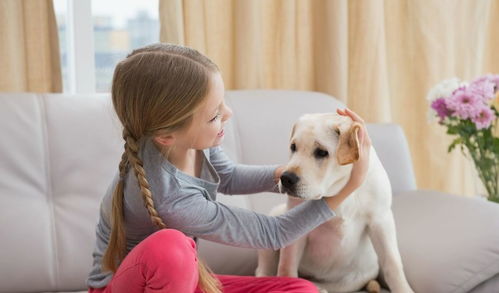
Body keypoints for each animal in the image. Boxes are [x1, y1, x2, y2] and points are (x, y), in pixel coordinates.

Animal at [254, 112, 414, 292]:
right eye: (293, 147)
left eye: (321, 152)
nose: (286, 178)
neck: (338, 188)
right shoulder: (293, 226)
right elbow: (287, 267)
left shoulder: (381, 220)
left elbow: (393, 263)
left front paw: (403, 289)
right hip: (275, 217)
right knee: (264, 269)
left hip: (357, 277)